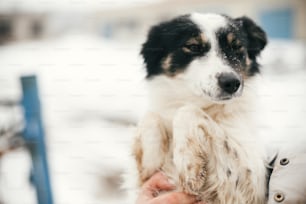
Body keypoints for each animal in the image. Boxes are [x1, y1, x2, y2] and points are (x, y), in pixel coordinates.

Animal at [124, 13, 268, 204]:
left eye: (237, 47)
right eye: (193, 47)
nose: (231, 83)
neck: (204, 104)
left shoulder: (250, 181)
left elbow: (186, 111)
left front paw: (188, 164)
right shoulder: (146, 181)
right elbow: (151, 116)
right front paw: (153, 157)